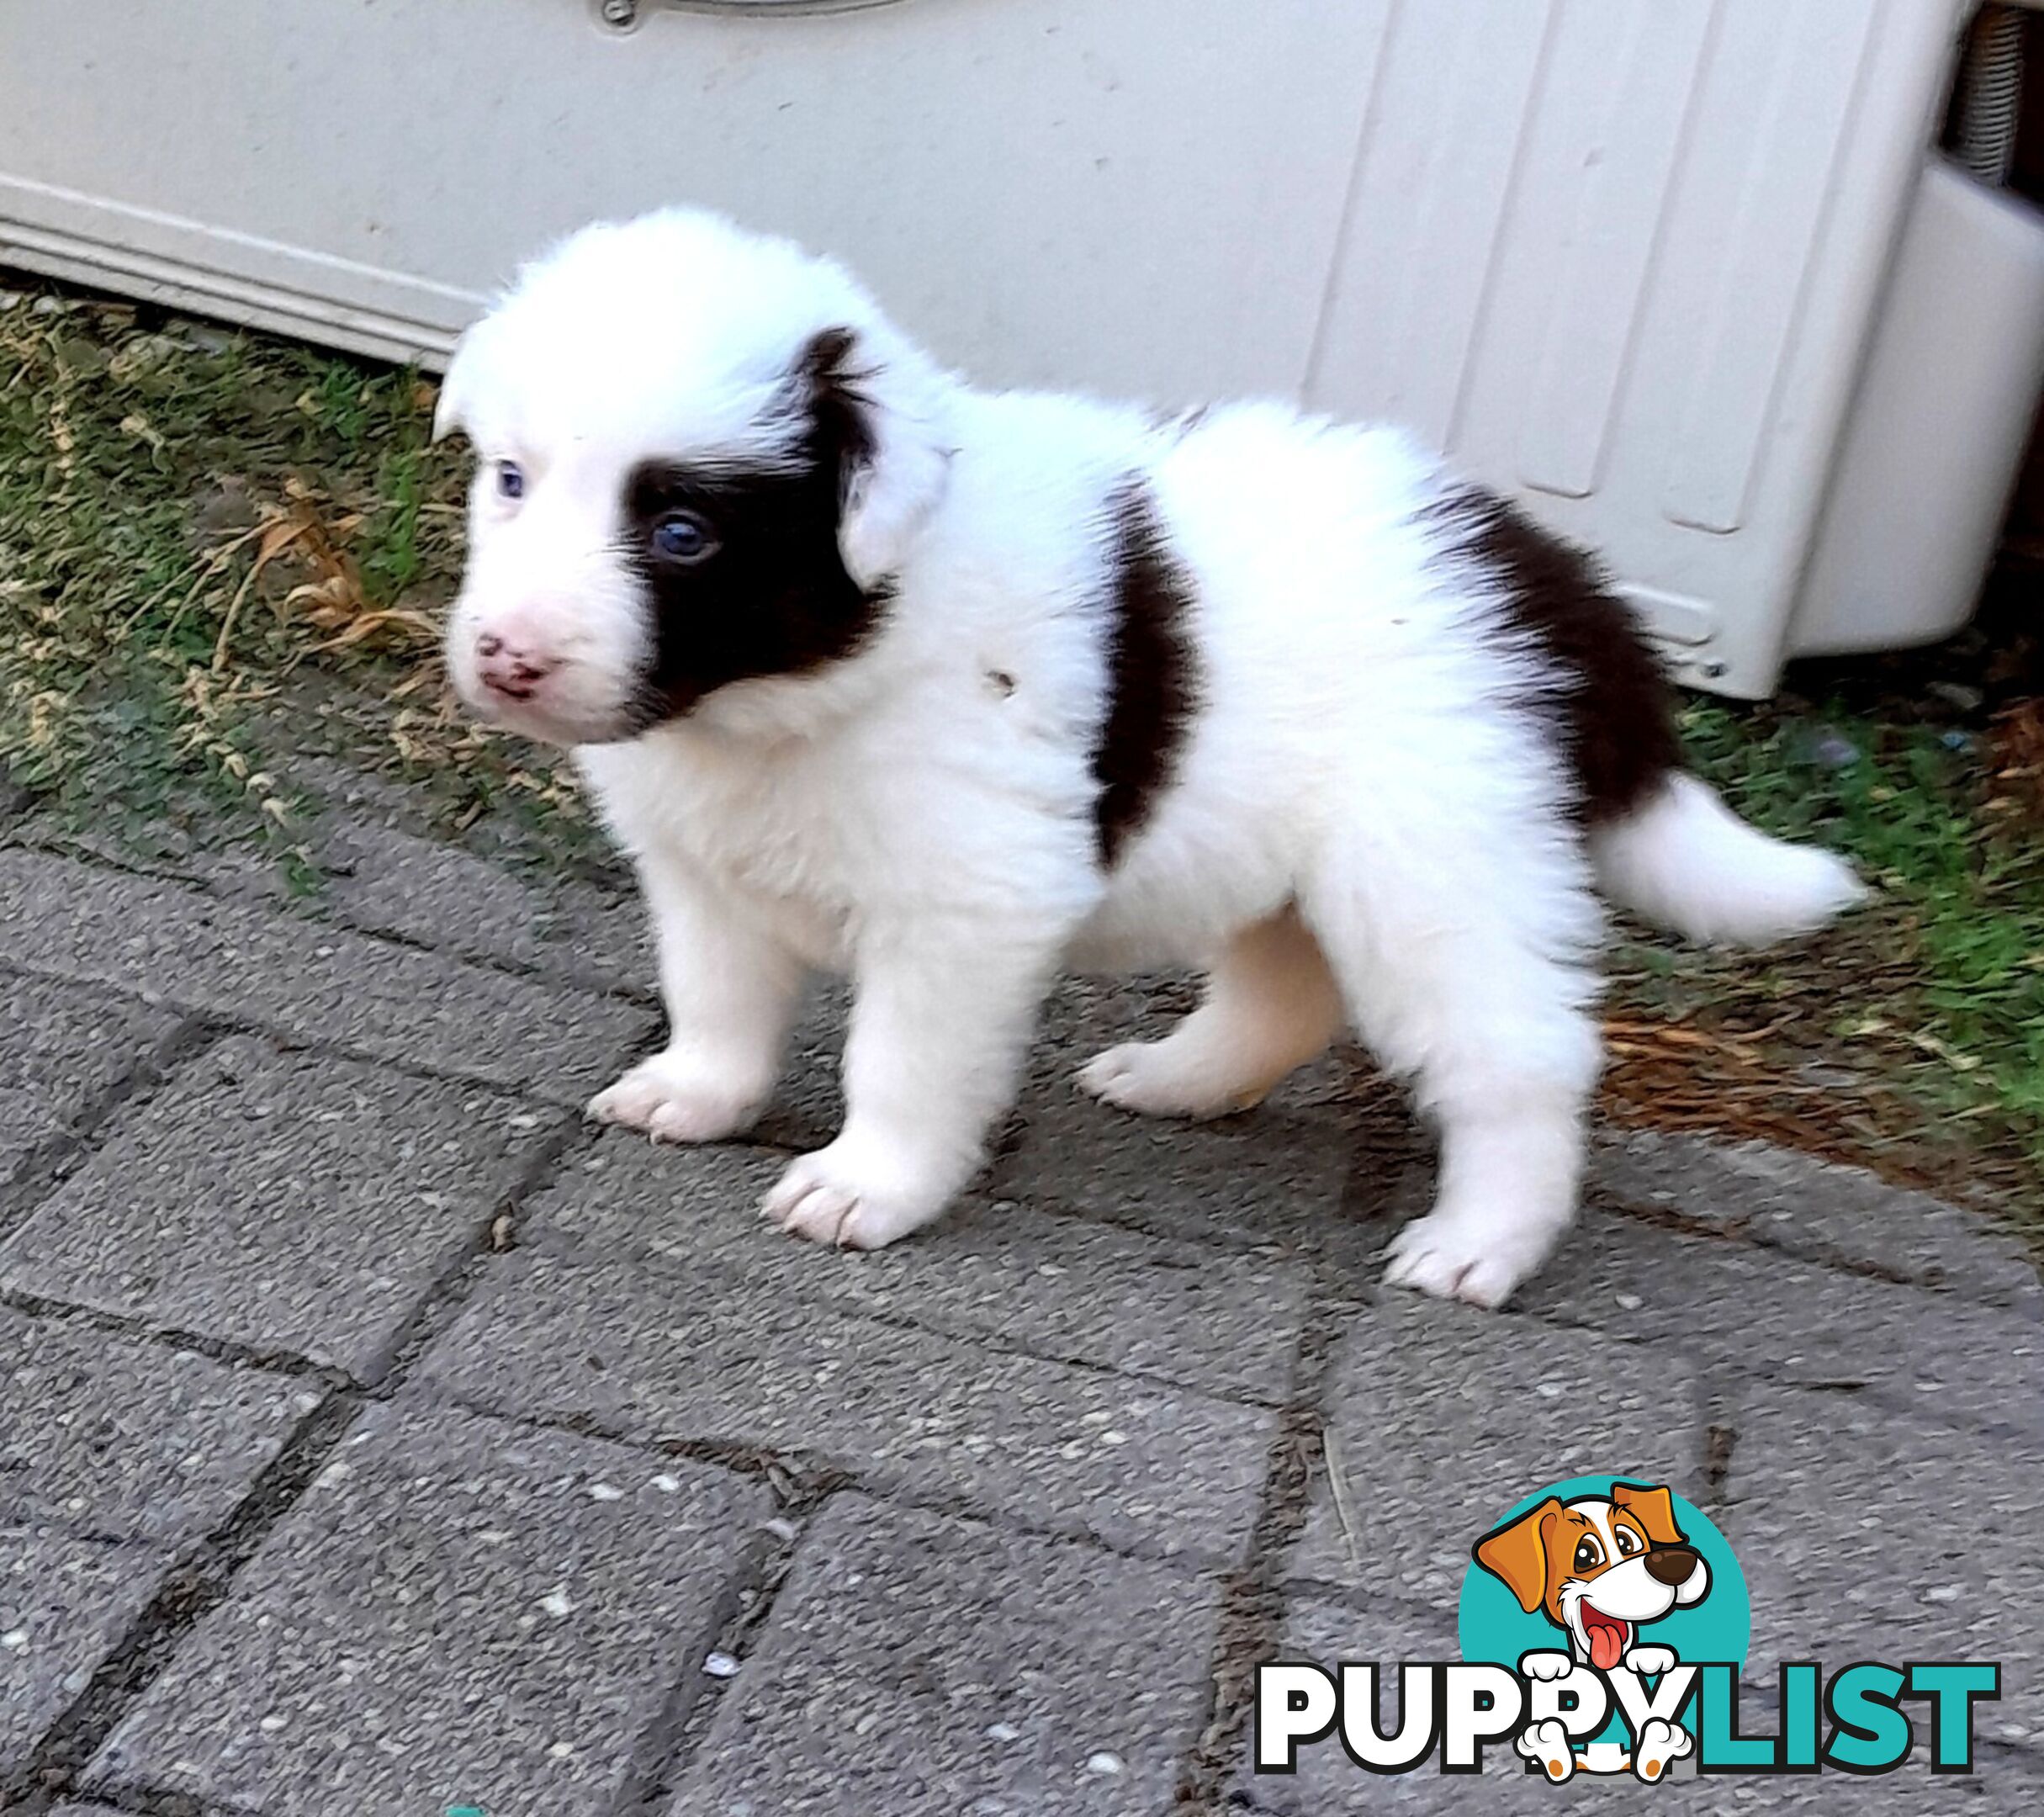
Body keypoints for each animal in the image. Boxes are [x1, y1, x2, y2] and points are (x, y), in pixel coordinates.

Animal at [435, 209, 1872, 1308]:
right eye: (510, 479)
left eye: (680, 534)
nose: (506, 656)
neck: (792, 690)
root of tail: (1557, 586)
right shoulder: (702, 872)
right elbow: (719, 999)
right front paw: (698, 1096)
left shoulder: (970, 903)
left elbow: (899, 1059)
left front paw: (867, 1185)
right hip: (1296, 852)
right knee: (1287, 994)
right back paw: (1178, 1080)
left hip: (1436, 864)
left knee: (1518, 1055)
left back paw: (1480, 1245)